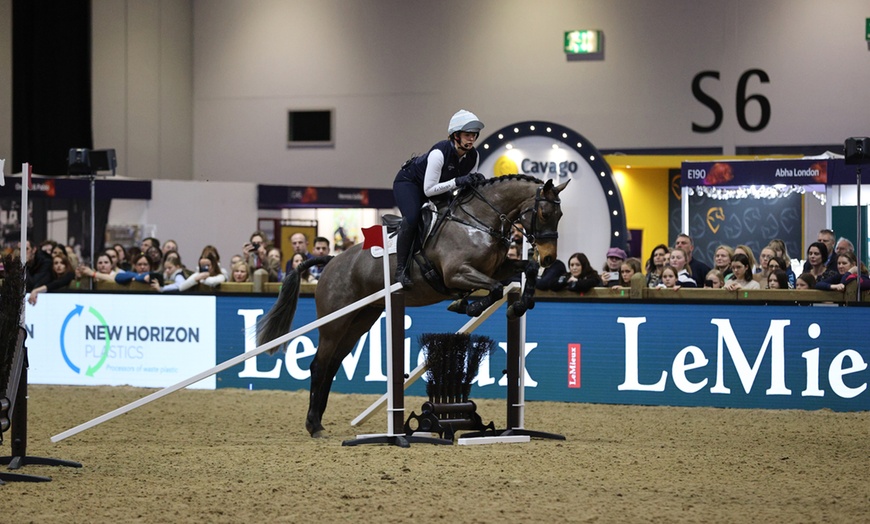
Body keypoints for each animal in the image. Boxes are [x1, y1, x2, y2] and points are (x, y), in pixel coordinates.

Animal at [257, 175, 569, 437]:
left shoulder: (499, 267)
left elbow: (525, 270)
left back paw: (319, 422)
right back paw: (313, 425)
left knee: (331, 365)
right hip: (335, 322)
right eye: (544, 213)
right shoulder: (457, 273)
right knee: (319, 366)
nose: (549, 258)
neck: (479, 221)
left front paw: (520, 305)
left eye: (560, 215)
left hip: (360, 320)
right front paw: (466, 306)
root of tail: (331, 262)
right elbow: (492, 289)